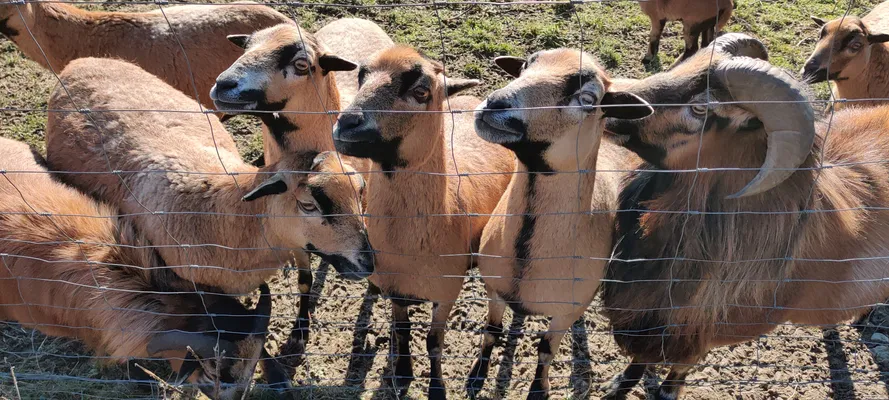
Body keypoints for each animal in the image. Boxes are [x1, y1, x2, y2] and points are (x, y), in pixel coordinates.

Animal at [45, 57, 373, 375]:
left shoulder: (297, 242)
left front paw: (299, 333)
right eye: (307, 205)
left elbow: (305, 281)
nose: (368, 263)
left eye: (361, 190)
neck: (232, 215)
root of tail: (78, 63)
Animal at [332, 46, 514, 399]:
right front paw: (403, 372)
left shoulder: (446, 293)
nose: (346, 124)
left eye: (421, 91)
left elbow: (433, 342)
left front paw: (437, 387)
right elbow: (402, 330)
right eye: (361, 76)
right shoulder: (396, 290)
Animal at [466, 50, 652, 399]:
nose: (496, 104)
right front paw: (476, 376)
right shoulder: (494, 287)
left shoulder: (566, 311)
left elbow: (546, 349)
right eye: (525, 66)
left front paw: (539, 389)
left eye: (588, 98)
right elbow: (491, 332)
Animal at [600, 35, 889, 400]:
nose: (607, 101)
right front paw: (617, 386)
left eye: (701, 108)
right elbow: (638, 360)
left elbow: (677, 369)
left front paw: (664, 391)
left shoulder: (699, 335)